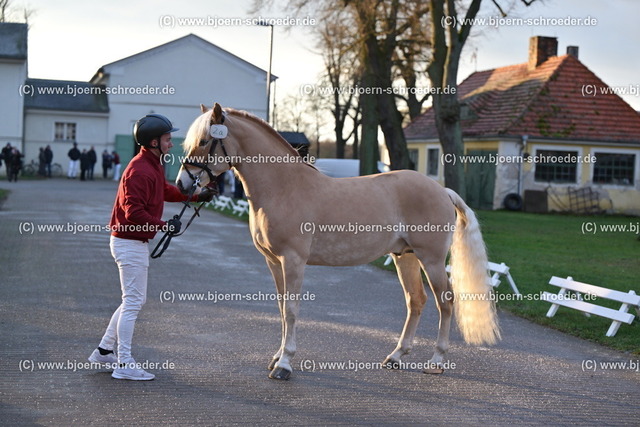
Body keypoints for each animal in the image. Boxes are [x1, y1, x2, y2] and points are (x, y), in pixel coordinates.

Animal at [176, 103, 500, 380]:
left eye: (204, 141)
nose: (183, 183)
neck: (284, 186)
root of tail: (442, 190)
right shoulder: (273, 261)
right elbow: (281, 309)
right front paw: (277, 356)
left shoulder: (293, 261)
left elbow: (291, 310)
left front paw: (284, 364)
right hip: (404, 256)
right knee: (416, 300)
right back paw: (396, 356)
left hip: (430, 259)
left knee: (445, 301)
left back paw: (436, 361)